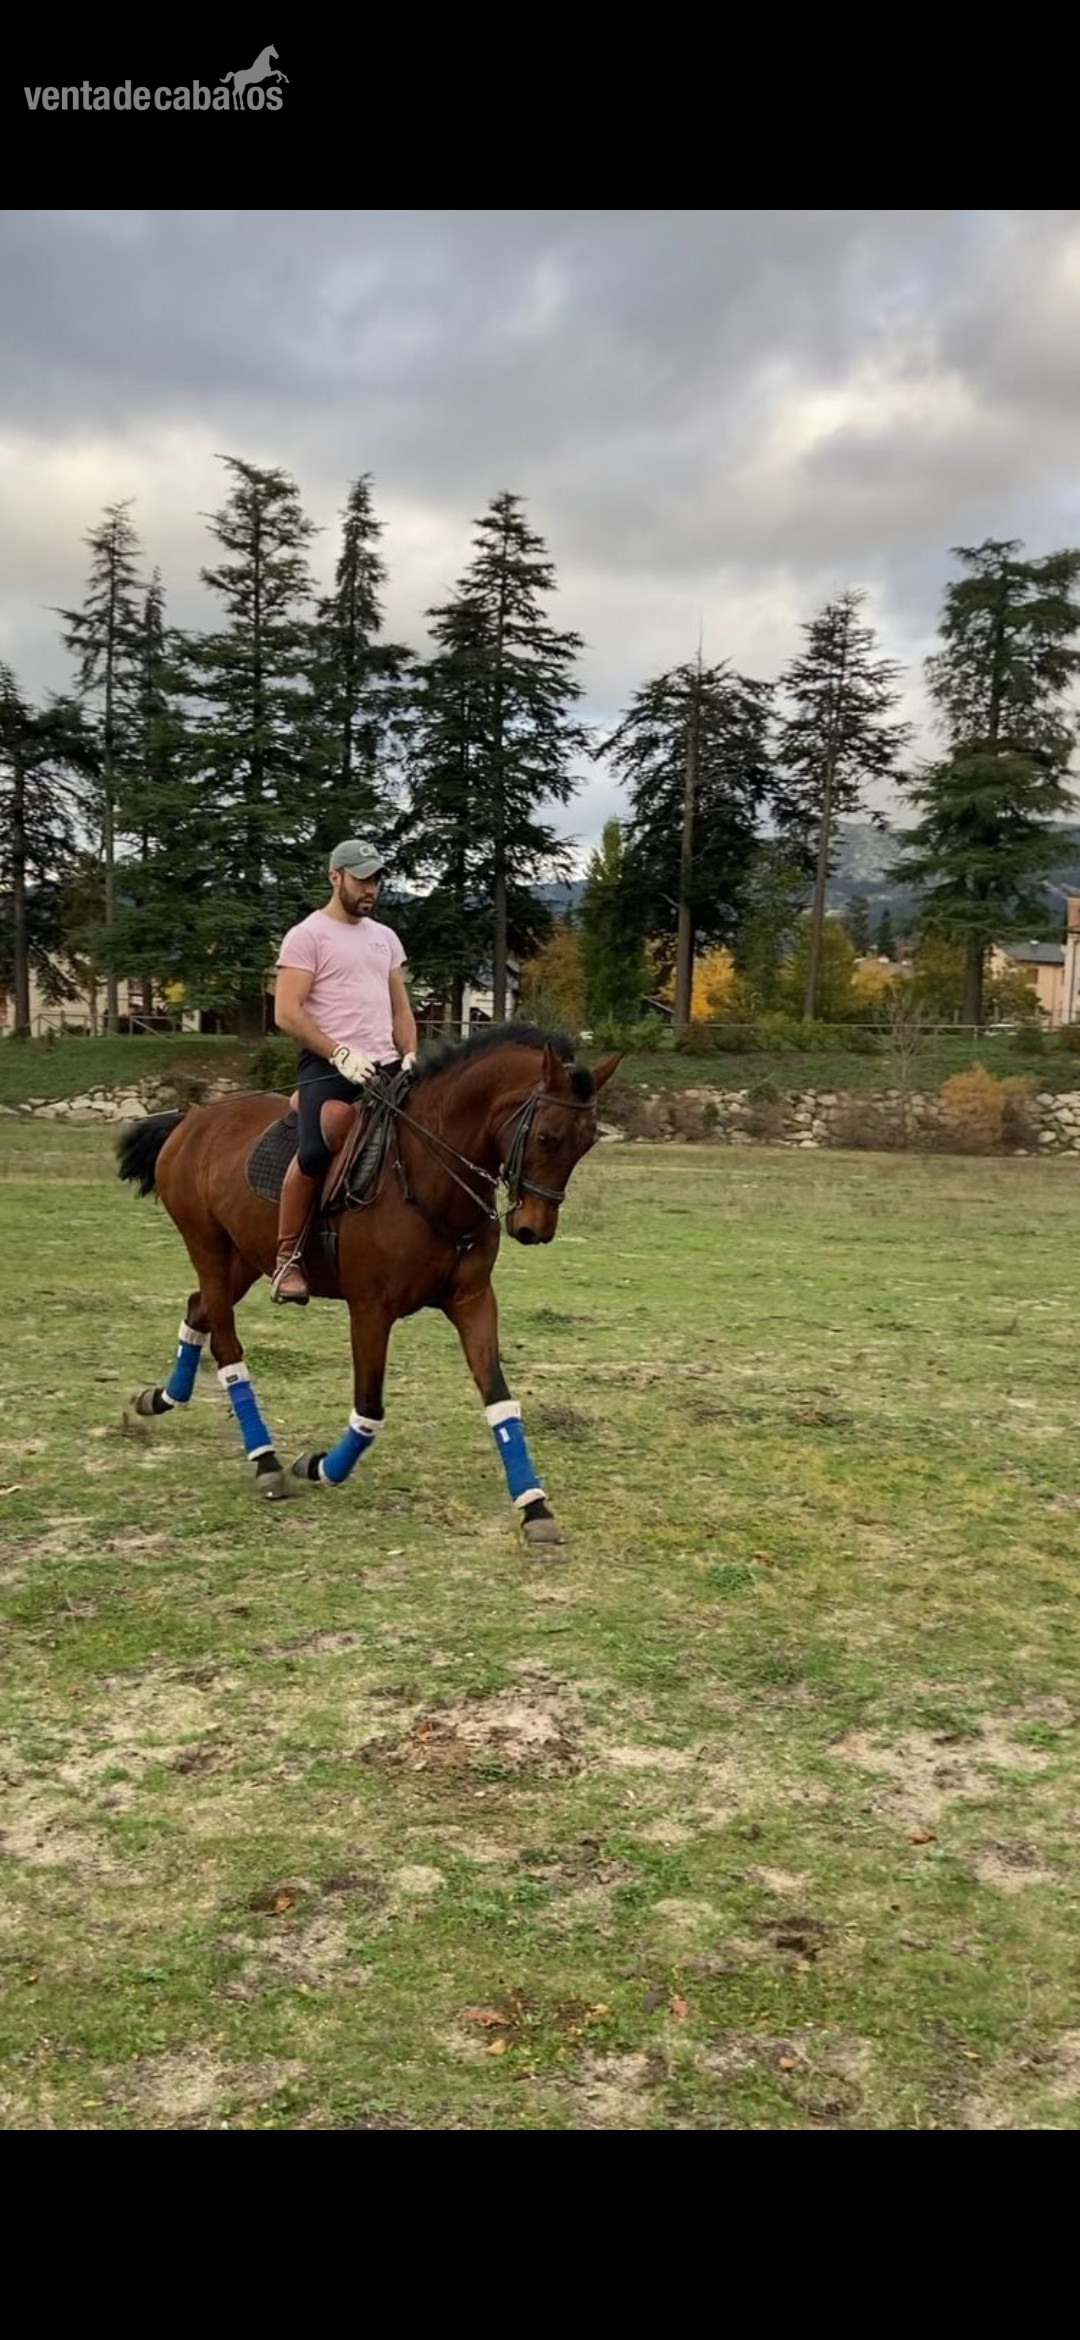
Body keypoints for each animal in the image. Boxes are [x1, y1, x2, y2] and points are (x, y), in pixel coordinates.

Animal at [116, 1024, 621, 1548]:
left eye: (586, 1143)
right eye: (546, 1137)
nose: (534, 1229)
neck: (428, 1175)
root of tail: (193, 1118)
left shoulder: (473, 1301)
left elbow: (499, 1400)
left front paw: (534, 1506)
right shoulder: (370, 1310)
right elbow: (369, 1408)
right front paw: (321, 1466)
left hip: (245, 1258)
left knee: (198, 1309)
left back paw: (162, 1398)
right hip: (208, 1248)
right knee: (227, 1346)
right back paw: (266, 1459)